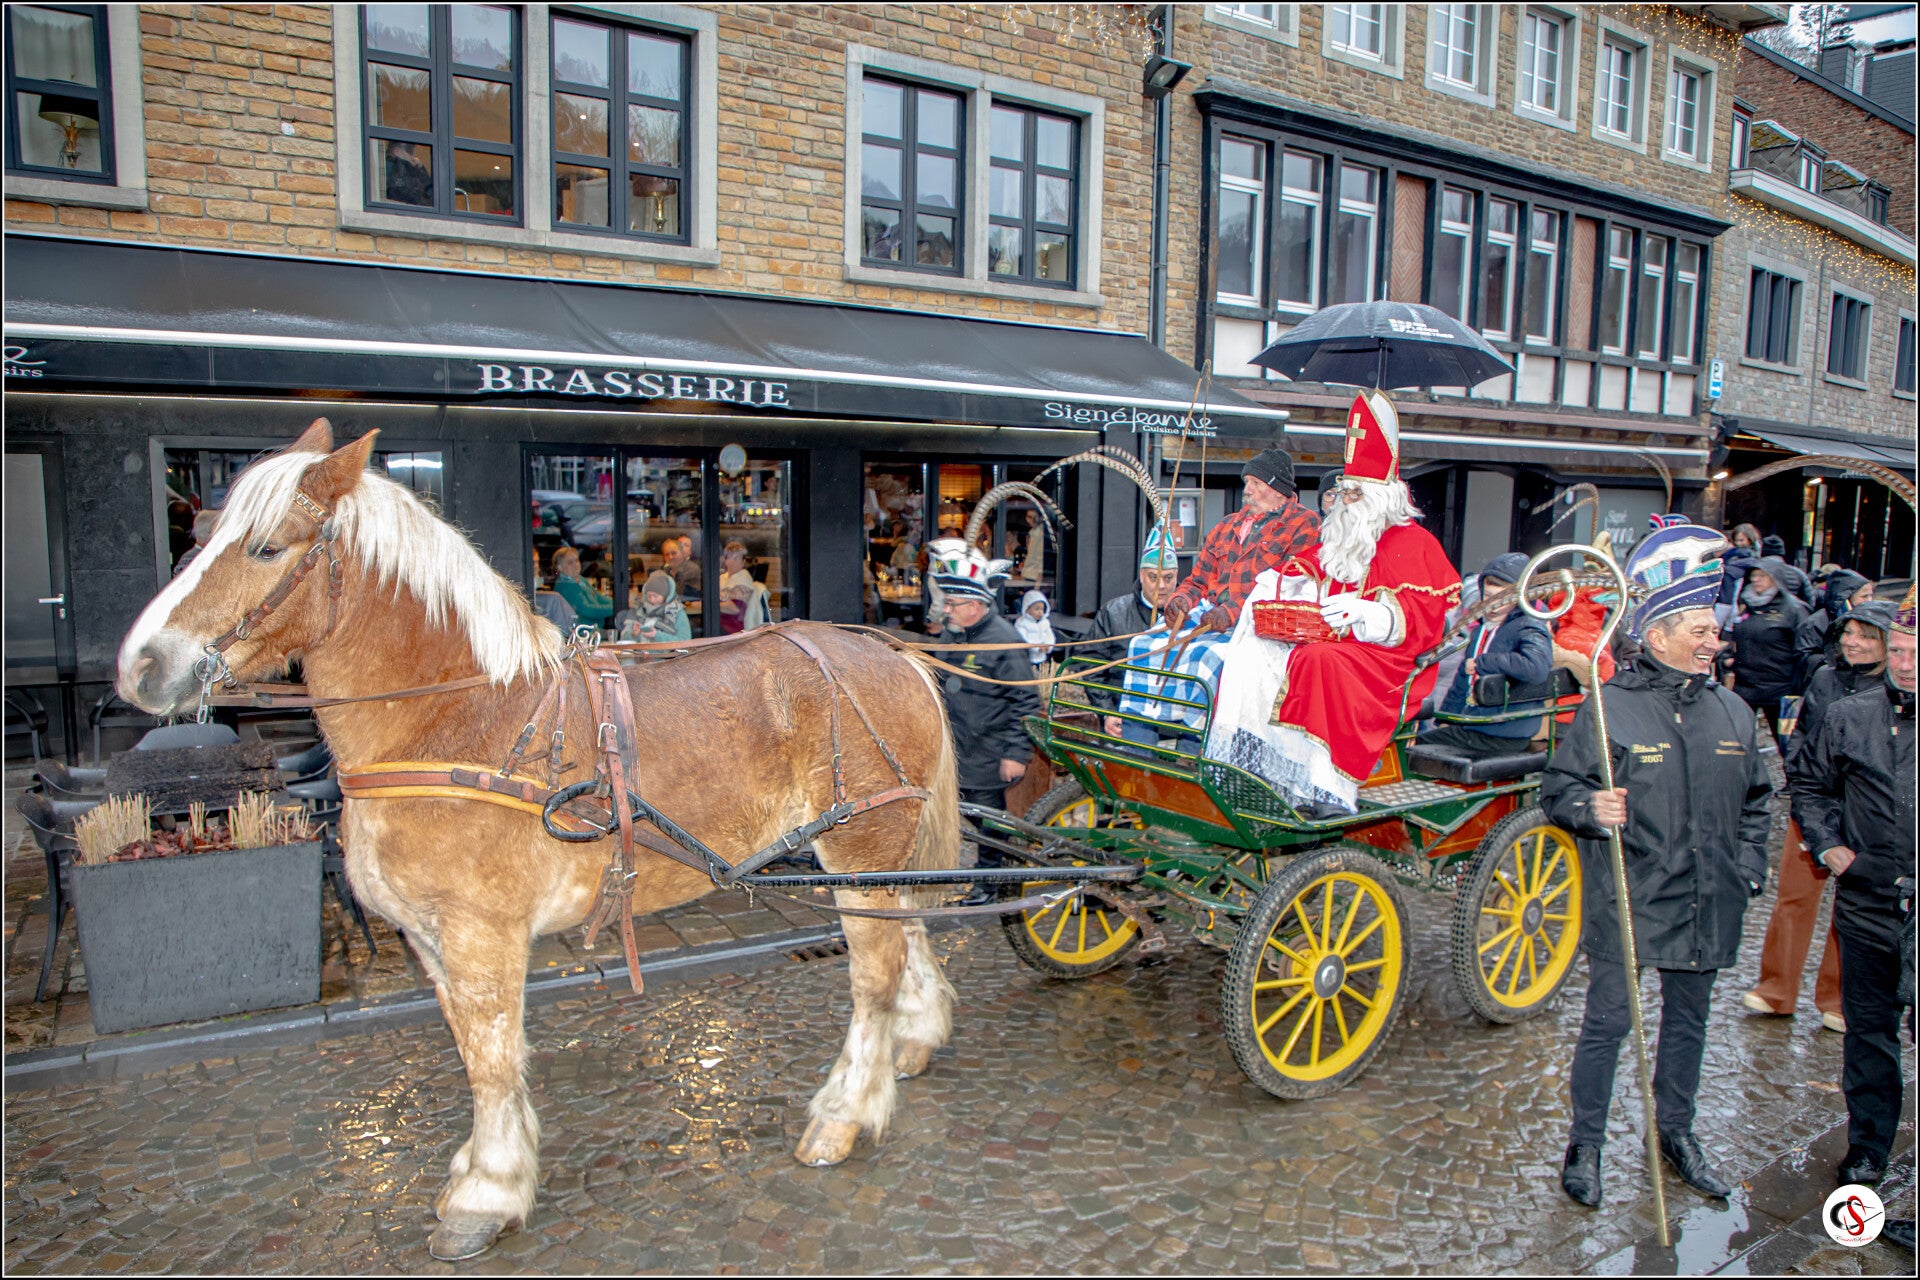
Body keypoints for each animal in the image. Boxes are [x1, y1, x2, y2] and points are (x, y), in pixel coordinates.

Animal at [115, 420, 963, 1261]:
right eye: (199, 534)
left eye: (265, 548)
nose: (140, 666)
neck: (458, 720)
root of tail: (890, 651)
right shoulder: (429, 938)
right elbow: (474, 1047)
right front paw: (489, 1165)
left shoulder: (480, 933)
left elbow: (491, 1057)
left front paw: (486, 1192)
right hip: (880, 859)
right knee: (906, 931)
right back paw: (914, 1039)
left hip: (857, 850)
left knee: (874, 976)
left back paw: (846, 1112)